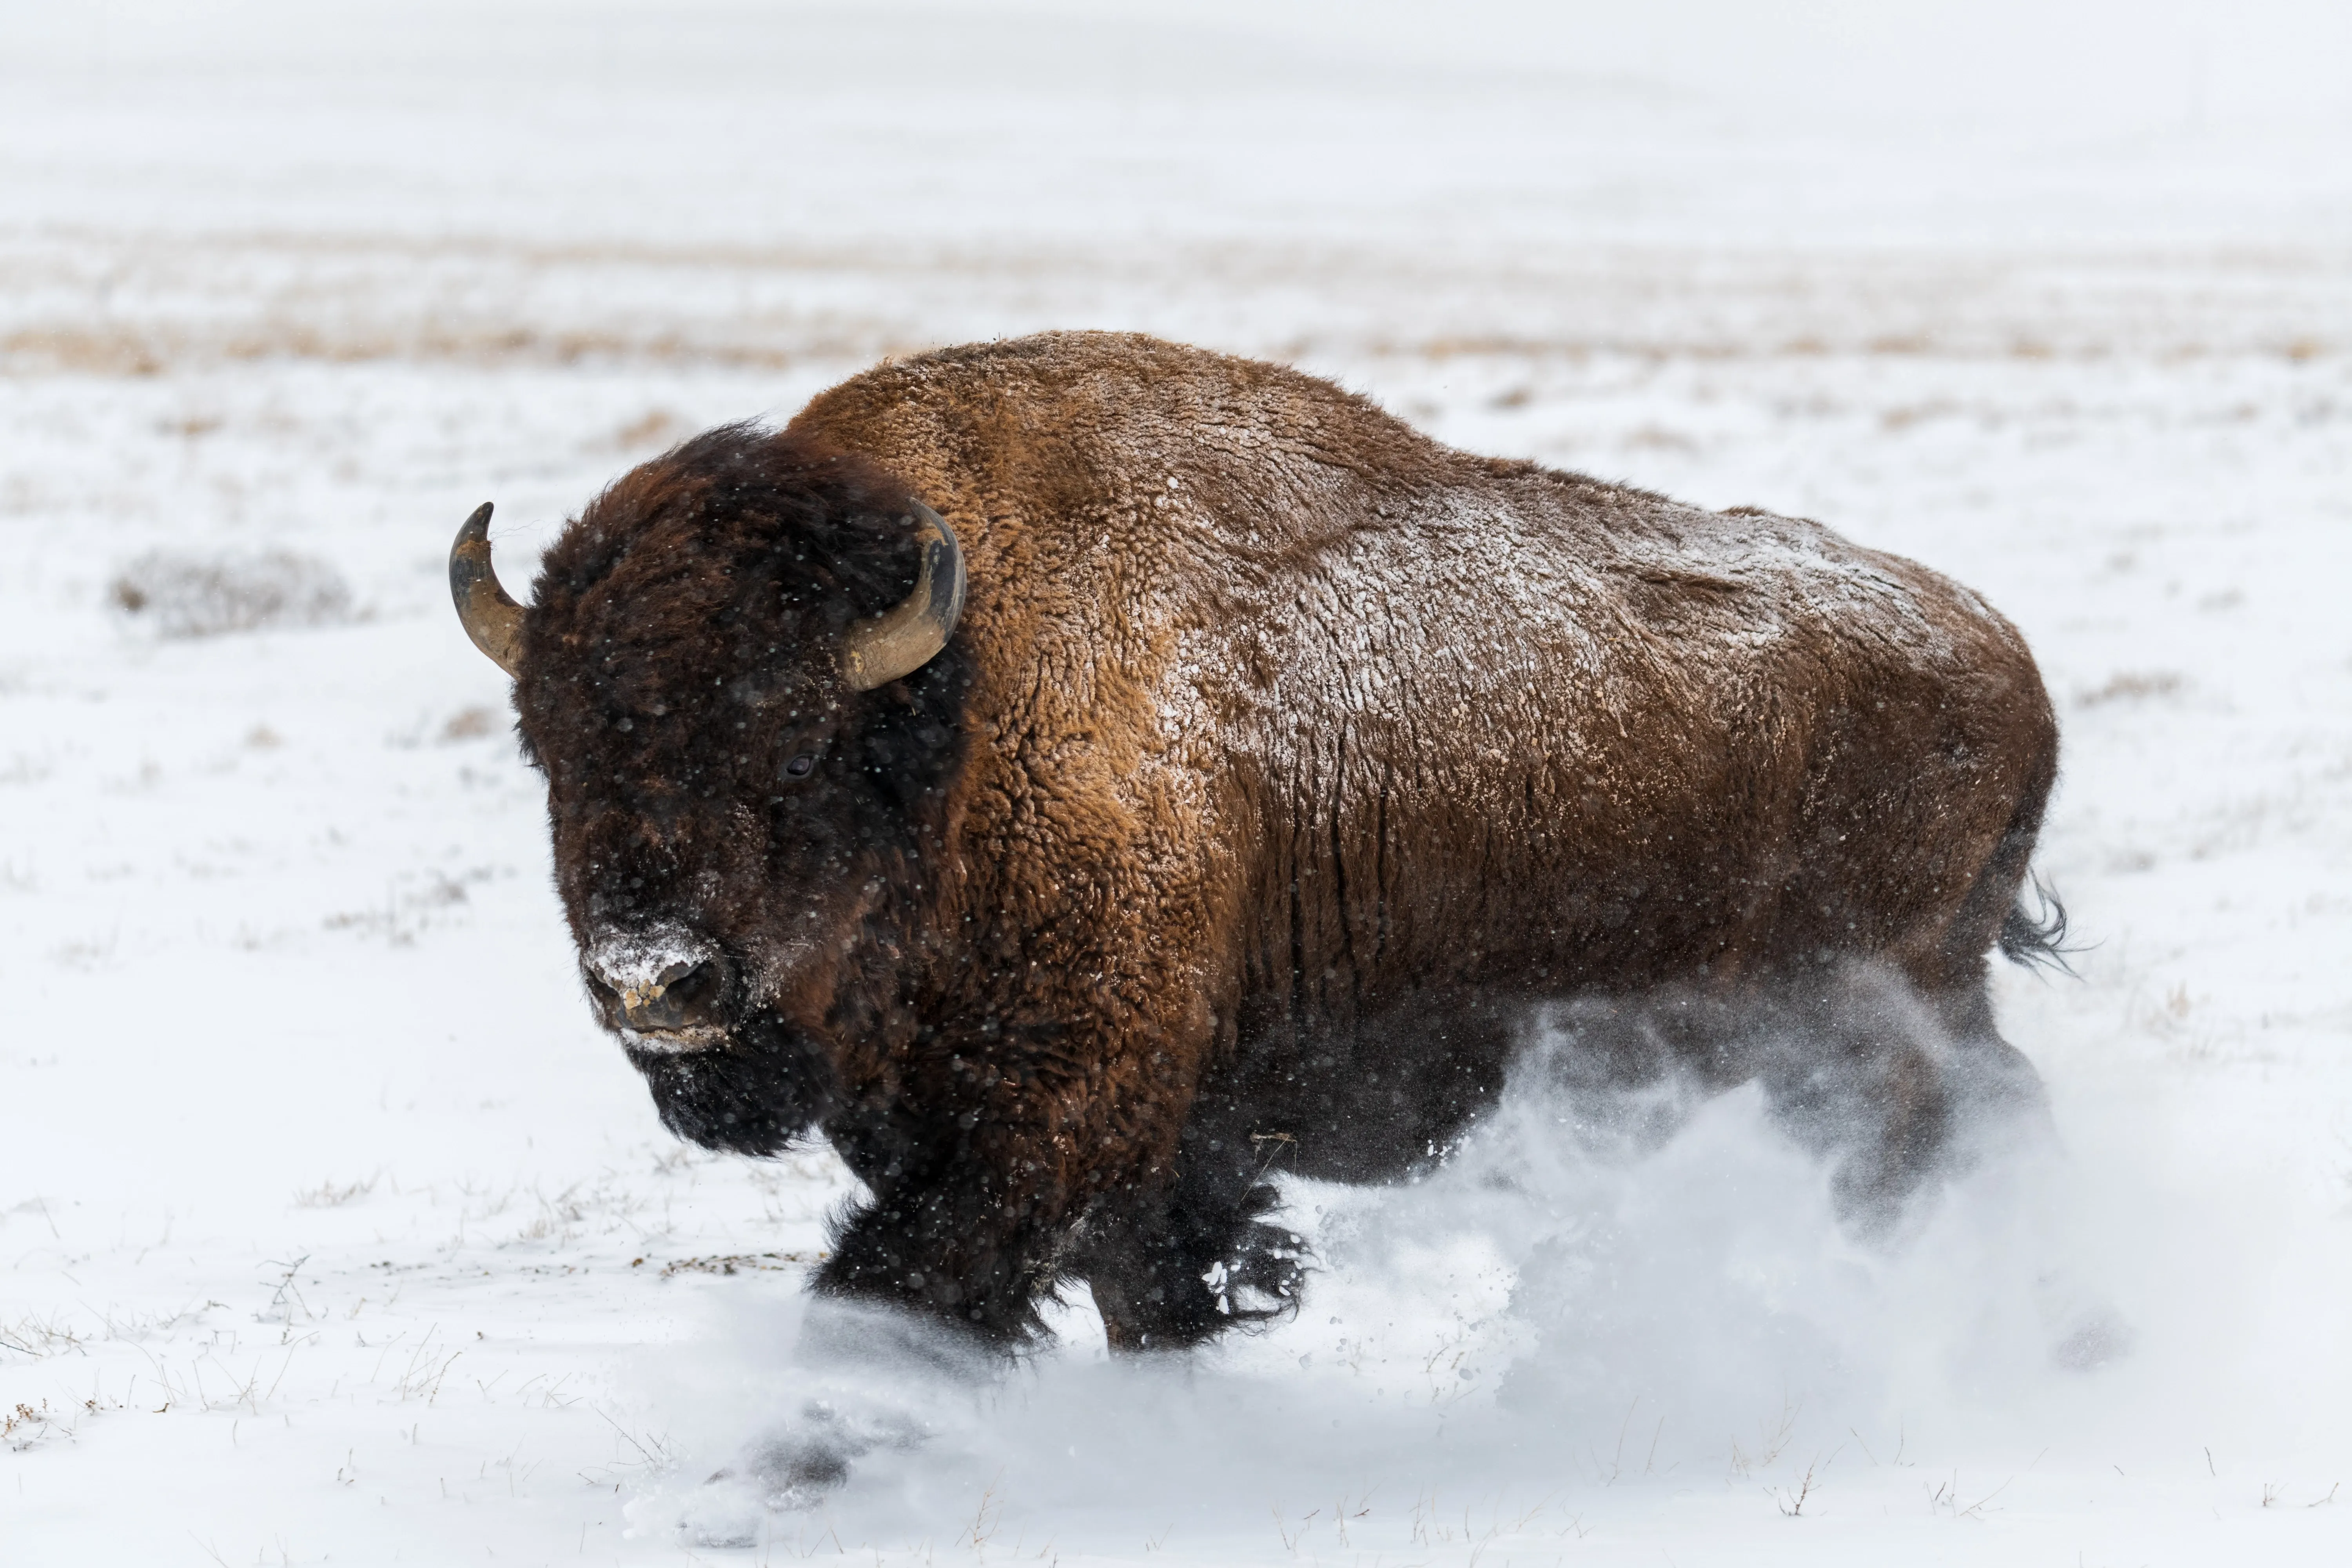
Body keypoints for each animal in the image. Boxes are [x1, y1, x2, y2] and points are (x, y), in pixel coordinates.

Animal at [450, 331, 2062, 1356]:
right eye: (551, 743)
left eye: (790, 741)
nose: (651, 978)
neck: (956, 702)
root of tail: (2004, 656)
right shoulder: (1114, 1151)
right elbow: (1140, 1296)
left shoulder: (1052, 1122)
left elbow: (906, 1286)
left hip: (1861, 1027)